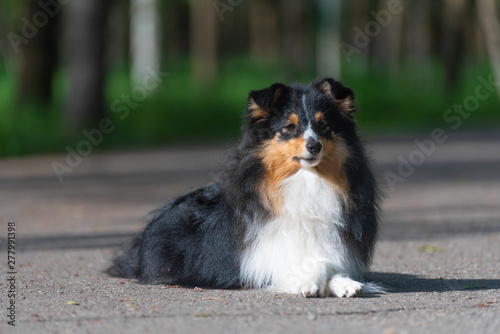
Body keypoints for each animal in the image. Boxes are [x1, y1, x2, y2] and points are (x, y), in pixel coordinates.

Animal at [107, 77, 380, 298]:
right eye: (289, 127)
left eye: (323, 126)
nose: (314, 146)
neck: (306, 180)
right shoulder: (259, 257)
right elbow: (307, 264)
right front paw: (308, 281)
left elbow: (328, 260)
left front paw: (344, 283)